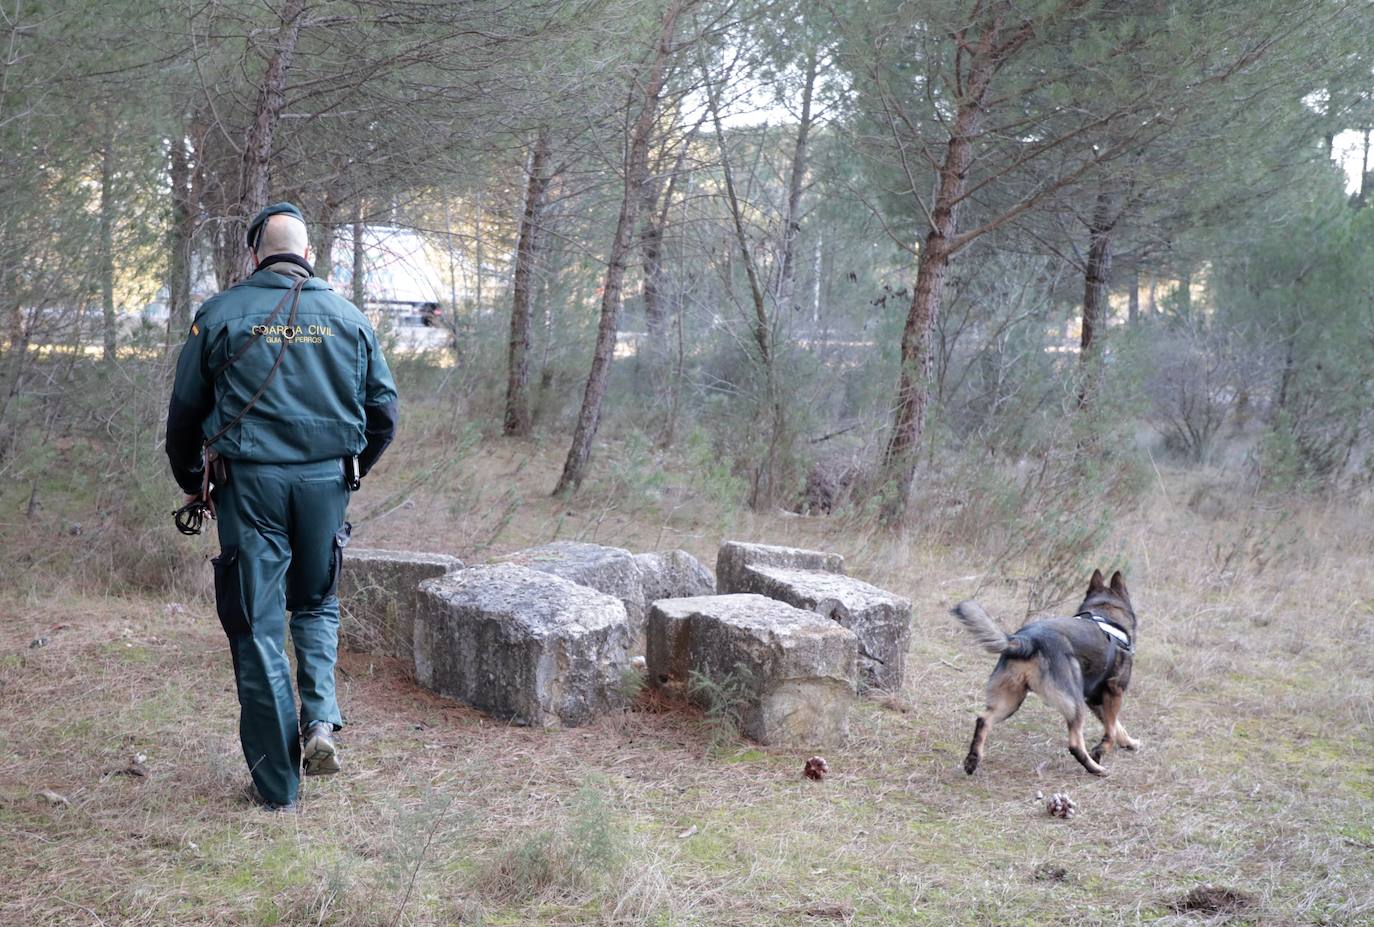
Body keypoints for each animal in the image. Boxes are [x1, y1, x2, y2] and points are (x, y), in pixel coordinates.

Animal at [956, 568, 1137, 780]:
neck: (1105, 612)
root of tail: (1027, 640)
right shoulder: (1113, 693)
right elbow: (1110, 730)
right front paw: (1100, 751)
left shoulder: (1095, 700)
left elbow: (1116, 726)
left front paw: (1129, 742)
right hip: (1075, 702)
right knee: (1075, 744)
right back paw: (1096, 769)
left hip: (1010, 701)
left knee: (983, 720)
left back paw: (972, 760)